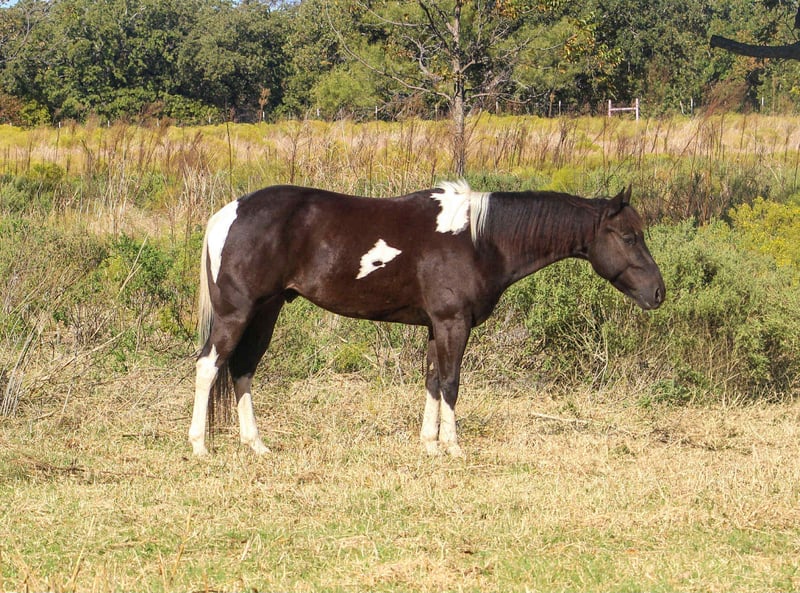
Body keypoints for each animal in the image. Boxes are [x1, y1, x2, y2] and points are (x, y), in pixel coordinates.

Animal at [189, 181, 665, 457]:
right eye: (628, 236)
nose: (658, 293)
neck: (479, 240)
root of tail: (228, 213)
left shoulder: (437, 326)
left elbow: (434, 380)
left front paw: (430, 444)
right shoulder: (454, 322)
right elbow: (452, 382)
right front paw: (453, 447)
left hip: (267, 310)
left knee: (243, 368)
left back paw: (256, 444)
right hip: (238, 312)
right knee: (210, 365)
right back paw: (199, 445)